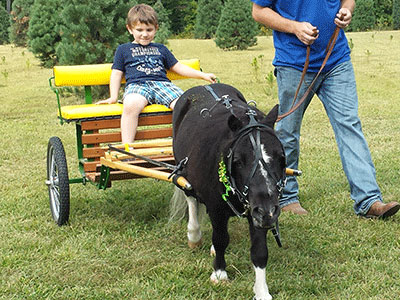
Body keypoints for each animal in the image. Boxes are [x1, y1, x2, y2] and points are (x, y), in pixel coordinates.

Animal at [173, 82, 286, 300]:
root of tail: (205, 84)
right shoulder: (218, 209)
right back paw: (194, 234)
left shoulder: (257, 210)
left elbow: (259, 251)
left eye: (280, 158)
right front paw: (219, 273)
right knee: (191, 199)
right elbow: (220, 238)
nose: (268, 210)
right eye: (239, 161)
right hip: (183, 169)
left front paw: (262, 291)